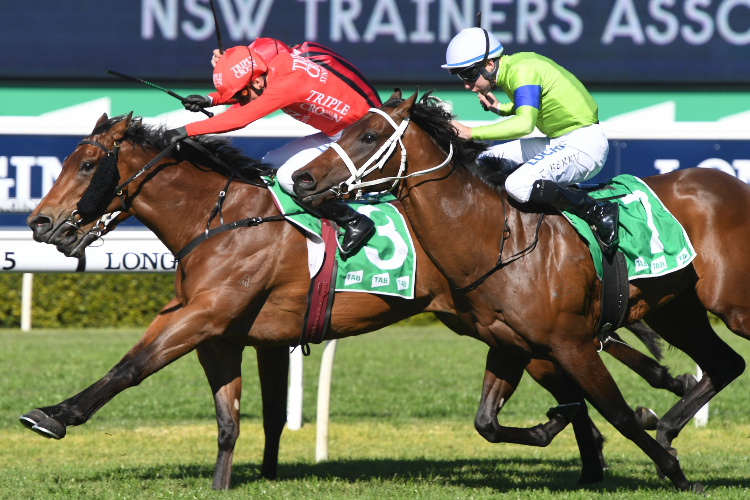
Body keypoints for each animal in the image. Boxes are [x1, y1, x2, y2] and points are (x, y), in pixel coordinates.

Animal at [23, 112, 692, 488]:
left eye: (86, 164)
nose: (39, 222)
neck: (220, 220)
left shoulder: (204, 314)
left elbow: (132, 366)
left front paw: (54, 414)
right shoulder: (217, 330)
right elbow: (228, 420)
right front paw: (222, 482)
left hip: (518, 328)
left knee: (587, 372)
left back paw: (654, 402)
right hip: (497, 327)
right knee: (578, 389)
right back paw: (616, 431)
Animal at [294, 92, 750, 490]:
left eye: (369, 136)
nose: (302, 177)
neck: (498, 238)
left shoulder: (572, 344)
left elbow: (618, 413)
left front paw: (675, 471)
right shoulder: (509, 344)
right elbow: (487, 423)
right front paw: (556, 426)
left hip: (732, 307)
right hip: (677, 310)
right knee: (726, 363)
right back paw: (668, 429)